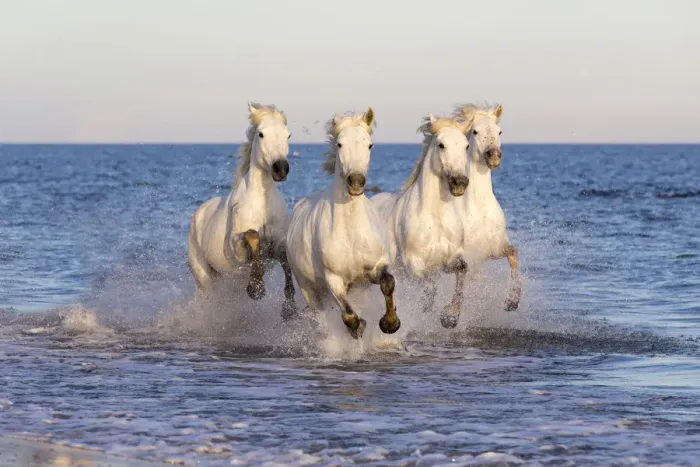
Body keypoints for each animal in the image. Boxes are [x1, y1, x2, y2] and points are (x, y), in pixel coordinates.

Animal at [187, 102, 297, 319]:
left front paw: (289, 307)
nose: (281, 168)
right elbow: (252, 235)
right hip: (205, 276)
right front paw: (256, 287)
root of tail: (198, 214)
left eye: (288, 135)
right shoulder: (236, 248)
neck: (262, 204)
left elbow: (286, 261)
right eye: (261, 134)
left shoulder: (278, 246)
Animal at [285, 108, 401, 339]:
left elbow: (388, 283)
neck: (352, 231)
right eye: (339, 144)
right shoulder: (334, 279)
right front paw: (359, 328)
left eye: (369, 145)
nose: (356, 182)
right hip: (308, 289)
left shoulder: (376, 267)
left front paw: (390, 323)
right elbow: (349, 317)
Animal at [371, 114, 472, 328]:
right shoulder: (414, 266)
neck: (436, 217)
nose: (459, 182)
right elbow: (430, 289)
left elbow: (462, 271)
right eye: (441, 145)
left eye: (466, 146)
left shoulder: (451, 259)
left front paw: (450, 317)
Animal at [446, 103, 521, 327]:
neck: (479, 211)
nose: (494, 156)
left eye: (499, 131)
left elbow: (513, 254)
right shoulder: (464, 256)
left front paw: (512, 301)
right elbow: (461, 278)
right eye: (475, 131)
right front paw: (450, 316)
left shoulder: (494, 248)